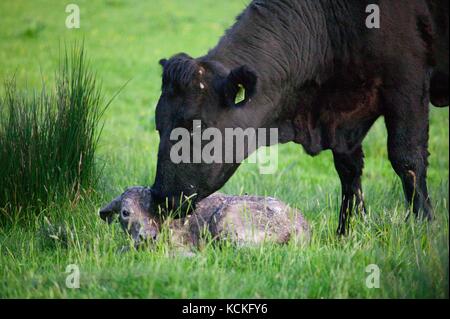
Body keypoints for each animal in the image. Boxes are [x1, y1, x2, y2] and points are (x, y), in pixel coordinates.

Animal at [150, 0, 446, 235]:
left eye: (195, 125)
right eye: (158, 126)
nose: (159, 197)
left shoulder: (407, 81)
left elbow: (407, 159)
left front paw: (424, 229)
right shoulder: (342, 120)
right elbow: (349, 170)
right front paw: (348, 232)